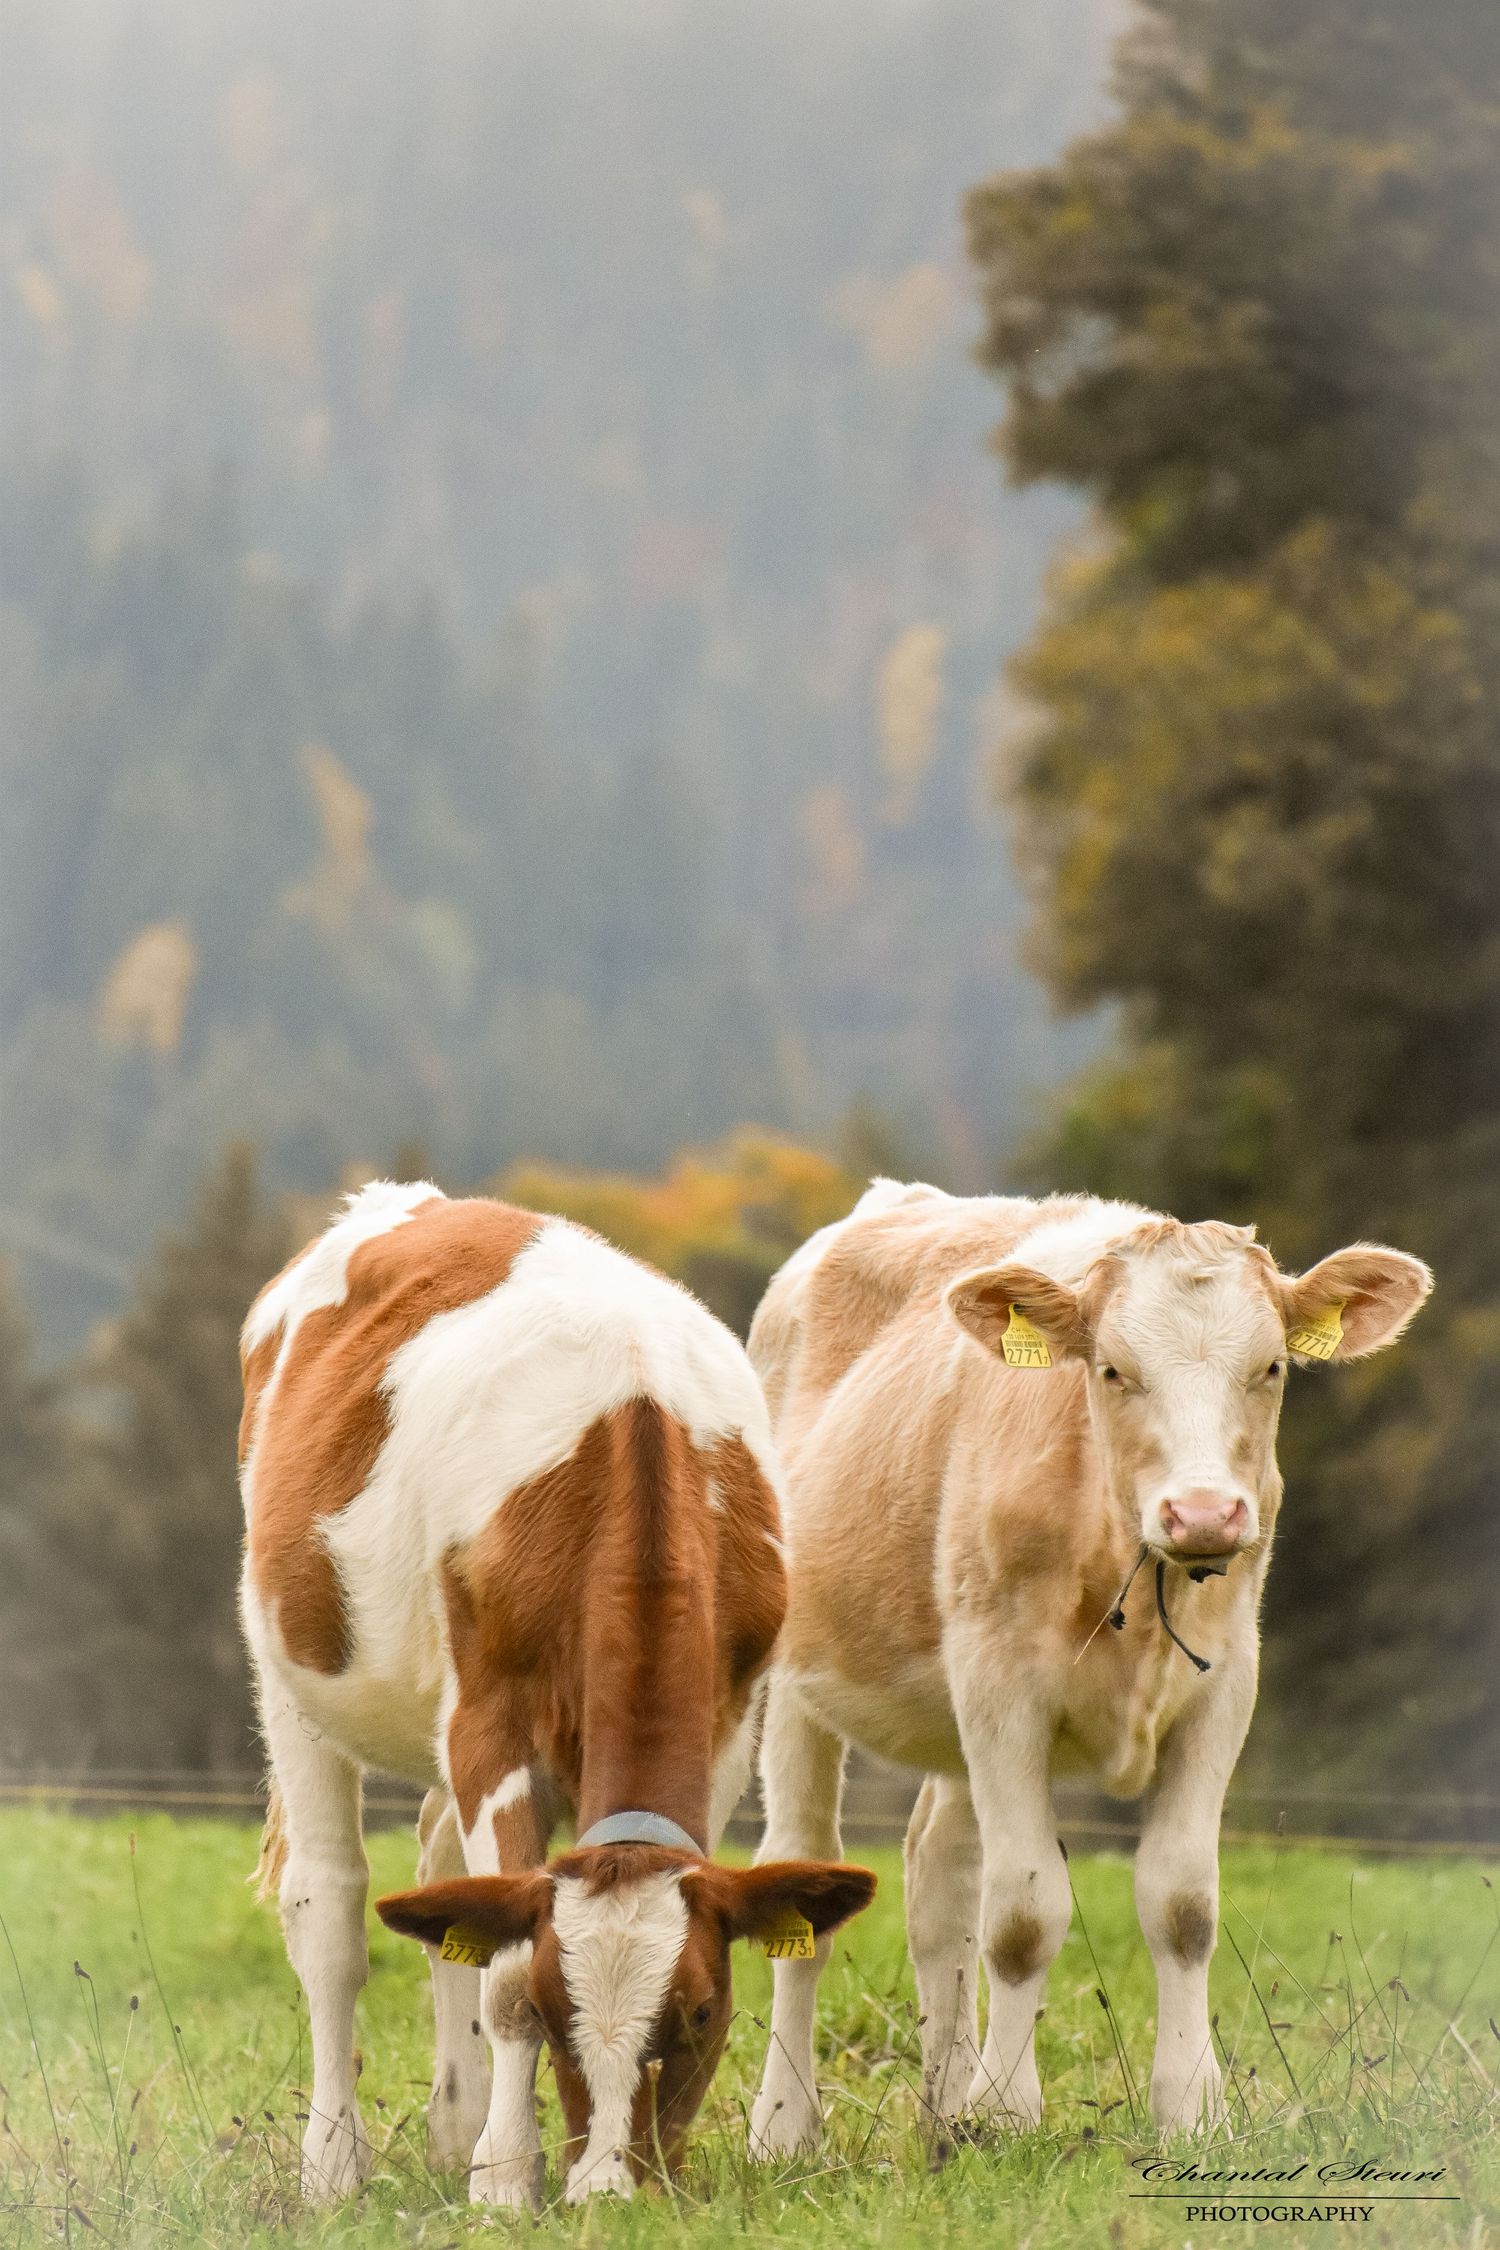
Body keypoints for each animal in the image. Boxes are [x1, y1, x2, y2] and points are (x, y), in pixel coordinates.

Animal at [237, 1180, 875, 2207]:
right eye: (547, 2004)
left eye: (701, 2011)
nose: (609, 2189)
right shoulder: (490, 1726)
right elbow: (495, 1967)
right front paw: (505, 2178)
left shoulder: (727, 1725)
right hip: (290, 1676)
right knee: (328, 1910)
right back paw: (334, 2168)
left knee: (442, 1882)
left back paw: (452, 2128)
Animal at [745, 1180, 1431, 2152]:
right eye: (1110, 1370)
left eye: (1271, 1369)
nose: (1204, 1514)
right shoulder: (1002, 1692)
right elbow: (1023, 1916)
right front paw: (1006, 2113)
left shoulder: (1224, 1691)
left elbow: (1182, 1908)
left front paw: (1190, 2110)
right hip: (799, 1678)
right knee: (804, 1875)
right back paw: (784, 2128)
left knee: (940, 1880)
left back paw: (943, 2113)